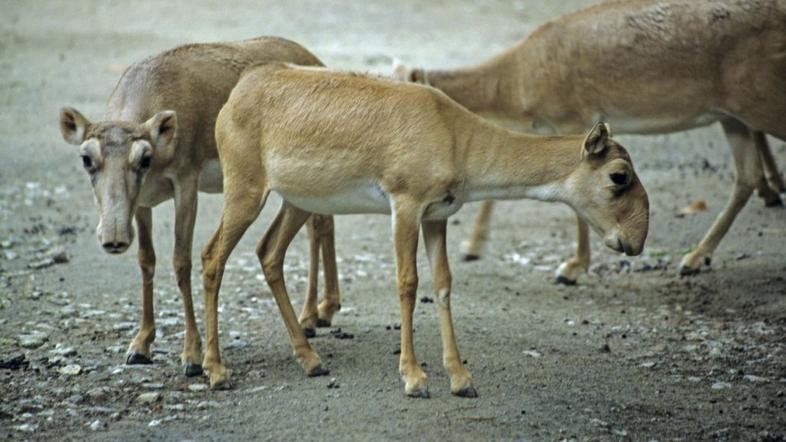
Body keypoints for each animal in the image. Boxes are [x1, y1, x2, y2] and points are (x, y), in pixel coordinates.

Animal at [55, 36, 336, 378]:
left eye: (144, 158)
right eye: (86, 158)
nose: (114, 238)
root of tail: (316, 60)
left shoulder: (186, 185)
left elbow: (181, 260)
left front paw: (191, 355)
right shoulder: (142, 202)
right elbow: (146, 259)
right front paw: (140, 345)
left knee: (320, 224)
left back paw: (315, 315)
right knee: (318, 226)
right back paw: (316, 315)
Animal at [199, 64, 648, 398]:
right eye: (619, 175)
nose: (636, 241)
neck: (456, 136)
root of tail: (237, 93)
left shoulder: (436, 216)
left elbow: (444, 283)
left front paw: (462, 379)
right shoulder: (406, 207)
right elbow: (408, 283)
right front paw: (414, 378)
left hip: (296, 202)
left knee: (268, 253)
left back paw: (311, 360)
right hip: (245, 191)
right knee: (212, 257)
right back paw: (216, 370)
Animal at [396, 0, 784, 284]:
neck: (518, 78)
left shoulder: (574, 120)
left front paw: (572, 268)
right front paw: (474, 245)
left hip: (761, 103)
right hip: (734, 116)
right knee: (745, 177)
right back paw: (695, 257)